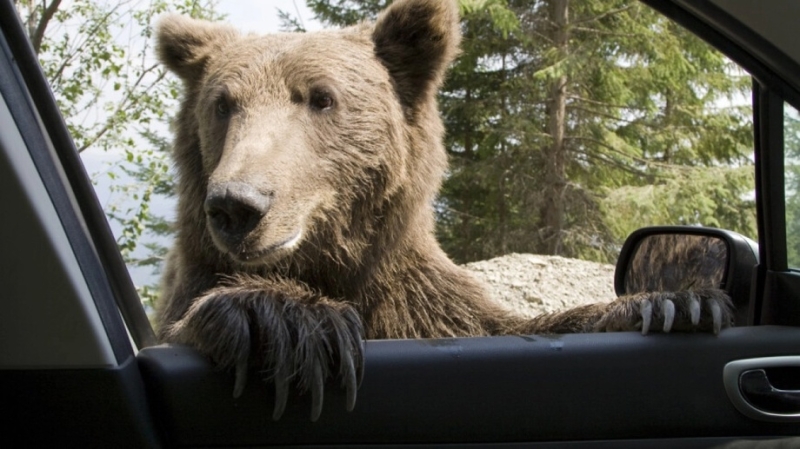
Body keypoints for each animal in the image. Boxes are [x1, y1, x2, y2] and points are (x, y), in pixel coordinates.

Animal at [153, 0, 736, 422]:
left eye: (320, 97)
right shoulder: (196, 280)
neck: (329, 263)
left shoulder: (418, 302)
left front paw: (672, 303)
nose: (238, 204)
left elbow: (504, 325)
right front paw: (288, 320)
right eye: (223, 104)